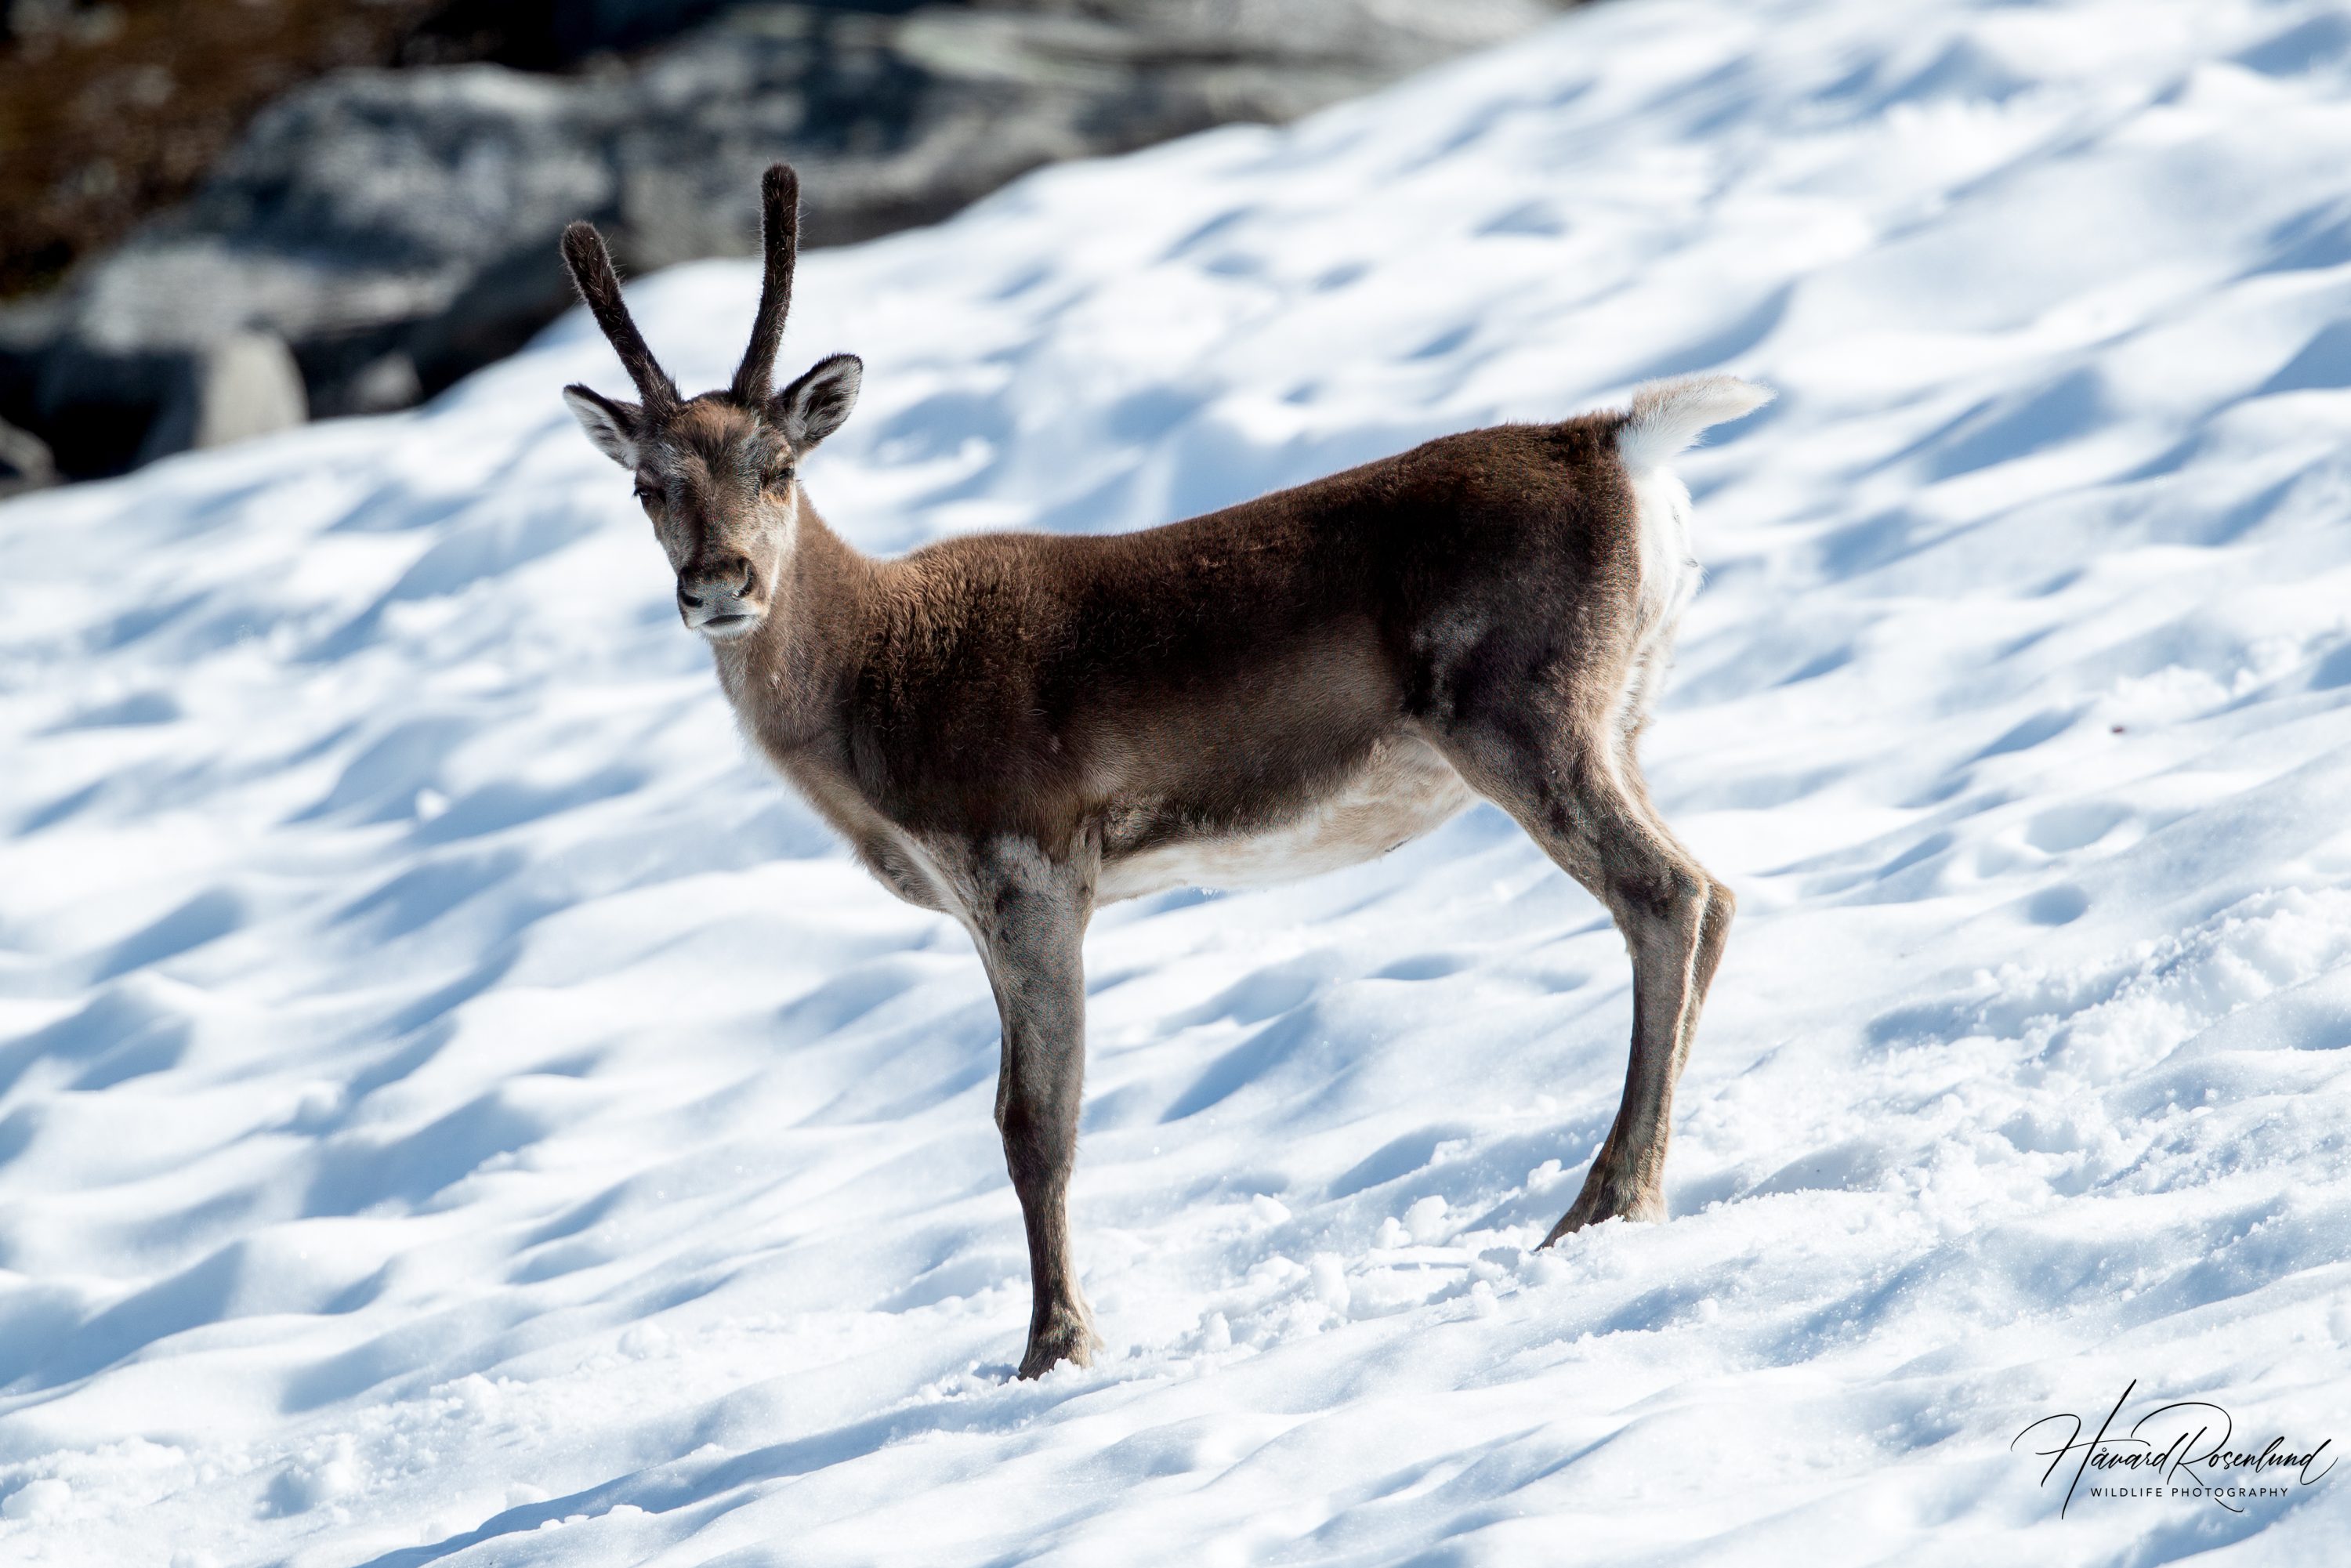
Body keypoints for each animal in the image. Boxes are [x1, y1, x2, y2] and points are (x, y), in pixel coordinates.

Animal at [558, 163, 1770, 1380]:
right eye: (649, 489)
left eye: (781, 468)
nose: (721, 584)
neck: (870, 695)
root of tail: (1616, 444)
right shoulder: (981, 902)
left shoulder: (1031, 863)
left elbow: (1035, 1122)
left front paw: (1055, 1348)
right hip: (1618, 715)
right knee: (1712, 895)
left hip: (1521, 711)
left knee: (1666, 892)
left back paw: (1610, 1202)